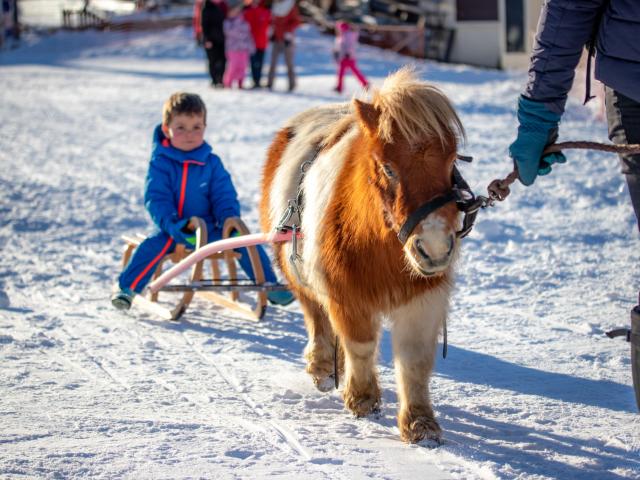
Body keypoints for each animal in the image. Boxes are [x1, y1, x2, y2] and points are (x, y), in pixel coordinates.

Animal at [258, 67, 464, 442]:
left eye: (451, 161)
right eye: (388, 167)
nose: (435, 249)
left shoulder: (423, 299)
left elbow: (414, 360)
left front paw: (420, 424)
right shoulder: (347, 293)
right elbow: (360, 344)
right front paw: (362, 400)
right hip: (293, 269)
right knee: (316, 316)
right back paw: (323, 367)